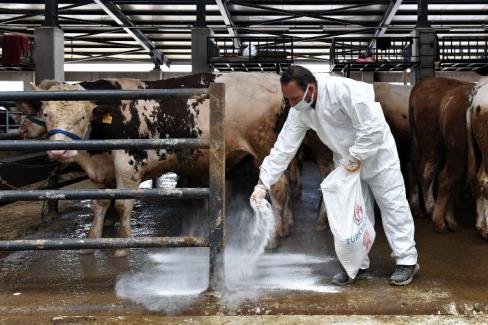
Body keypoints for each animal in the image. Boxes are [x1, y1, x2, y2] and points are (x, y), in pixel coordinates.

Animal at [26, 73, 300, 256]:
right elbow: (99, 205)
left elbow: (123, 205)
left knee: (278, 187)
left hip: (264, 147)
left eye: (82, 116)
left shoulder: (128, 165)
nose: (59, 151)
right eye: (46, 114)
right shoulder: (102, 171)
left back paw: (274, 235)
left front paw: (123, 245)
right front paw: (91, 241)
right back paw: (286, 226)